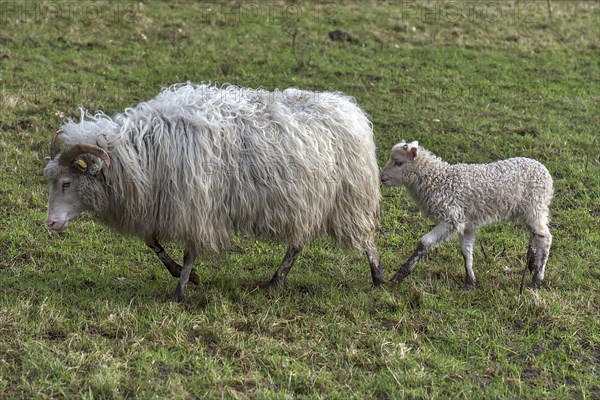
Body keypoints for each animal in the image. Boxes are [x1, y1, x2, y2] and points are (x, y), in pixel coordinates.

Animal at [380, 142, 552, 290]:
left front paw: (400, 274)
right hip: (530, 212)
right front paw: (469, 281)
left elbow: (425, 242)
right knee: (536, 236)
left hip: (535, 208)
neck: (438, 180)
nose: (382, 178)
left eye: (399, 162)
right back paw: (532, 264)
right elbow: (466, 249)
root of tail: (545, 172)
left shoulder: (451, 218)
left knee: (545, 238)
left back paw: (537, 278)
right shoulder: (466, 222)